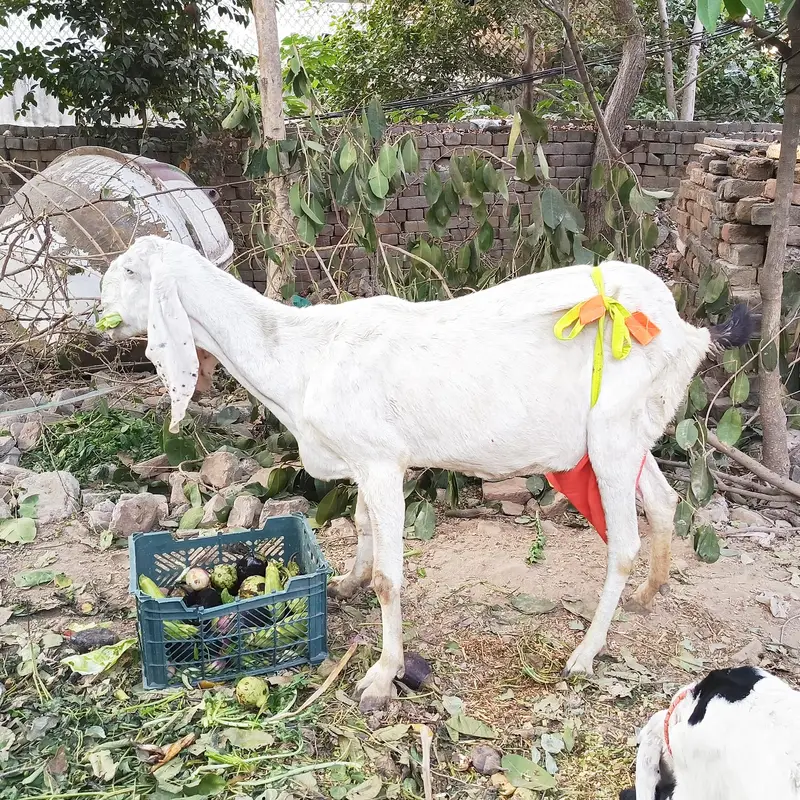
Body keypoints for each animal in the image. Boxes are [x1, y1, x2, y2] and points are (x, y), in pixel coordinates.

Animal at [99, 235, 752, 712]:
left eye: (130, 270)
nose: (97, 311)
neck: (304, 355)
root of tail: (684, 326)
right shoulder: (364, 462)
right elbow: (362, 525)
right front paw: (347, 583)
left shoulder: (382, 462)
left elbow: (392, 579)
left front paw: (381, 675)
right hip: (629, 433)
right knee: (664, 502)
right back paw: (649, 593)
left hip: (612, 437)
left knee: (623, 543)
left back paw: (587, 651)